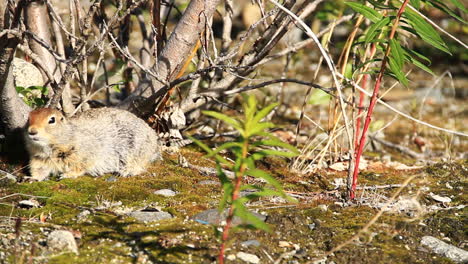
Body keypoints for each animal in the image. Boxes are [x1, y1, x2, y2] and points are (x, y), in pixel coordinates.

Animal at [25, 106, 161, 179]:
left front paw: (66, 175)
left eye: (52, 120)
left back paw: (126, 171)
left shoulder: (83, 154)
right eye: (28, 118)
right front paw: (31, 178)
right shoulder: (38, 159)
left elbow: (80, 166)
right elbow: (38, 170)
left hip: (135, 149)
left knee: (140, 164)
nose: (32, 131)